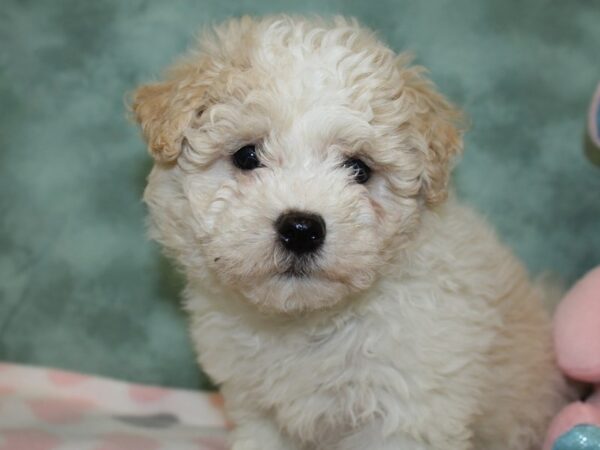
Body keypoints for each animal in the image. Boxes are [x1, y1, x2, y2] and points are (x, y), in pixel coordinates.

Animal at [134, 14, 568, 450]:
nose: (301, 229)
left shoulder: (408, 410)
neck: (303, 320)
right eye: (246, 156)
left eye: (359, 168)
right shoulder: (260, 411)